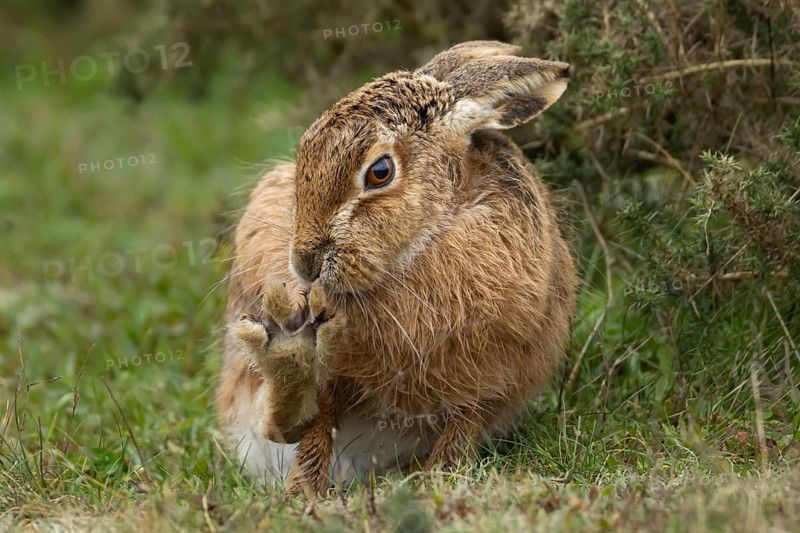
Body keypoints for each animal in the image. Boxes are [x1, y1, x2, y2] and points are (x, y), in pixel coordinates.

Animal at [216, 40, 577, 496]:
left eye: (380, 172)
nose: (304, 263)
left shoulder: (493, 383)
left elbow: (460, 433)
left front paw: (438, 481)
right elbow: (317, 420)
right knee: (288, 424)